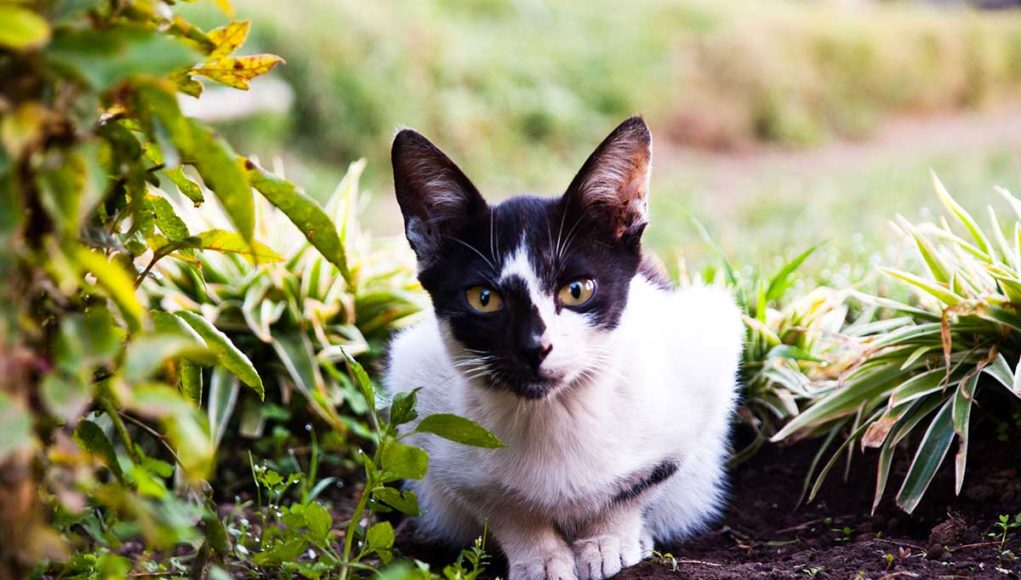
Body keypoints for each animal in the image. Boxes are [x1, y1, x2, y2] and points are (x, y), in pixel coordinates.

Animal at [383, 117, 743, 580]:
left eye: (578, 290)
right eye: (484, 299)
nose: (535, 346)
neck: (552, 414)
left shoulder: (700, 372)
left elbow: (638, 484)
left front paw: (607, 541)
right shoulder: (433, 419)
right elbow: (499, 503)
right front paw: (540, 558)